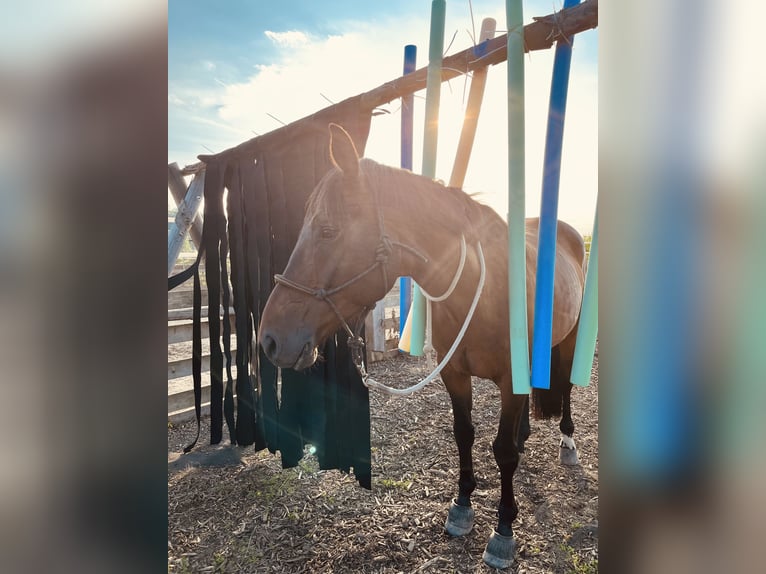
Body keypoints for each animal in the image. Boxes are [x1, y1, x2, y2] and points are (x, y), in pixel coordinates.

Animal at [258, 124, 588, 568]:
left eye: (328, 230)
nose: (270, 339)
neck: (483, 288)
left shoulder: (508, 378)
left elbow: (502, 452)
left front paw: (503, 529)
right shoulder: (455, 374)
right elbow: (464, 434)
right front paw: (462, 506)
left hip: (569, 341)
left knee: (566, 389)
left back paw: (567, 443)